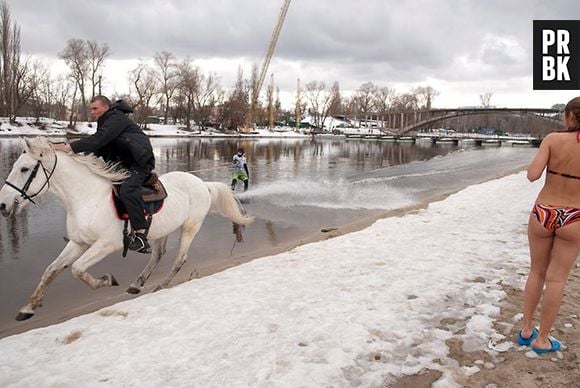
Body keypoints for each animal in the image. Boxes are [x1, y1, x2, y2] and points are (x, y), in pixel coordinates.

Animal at [0, 137, 254, 322]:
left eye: (24, 169)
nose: (3, 205)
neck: (86, 198)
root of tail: (203, 184)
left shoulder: (106, 244)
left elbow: (77, 269)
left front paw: (107, 280)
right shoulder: (78, 243)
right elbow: (51, 270)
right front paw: (29, 307)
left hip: (190, 227)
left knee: (179, 259)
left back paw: (160, 285)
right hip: (163, 230)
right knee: (157, 255)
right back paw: (137, 284)